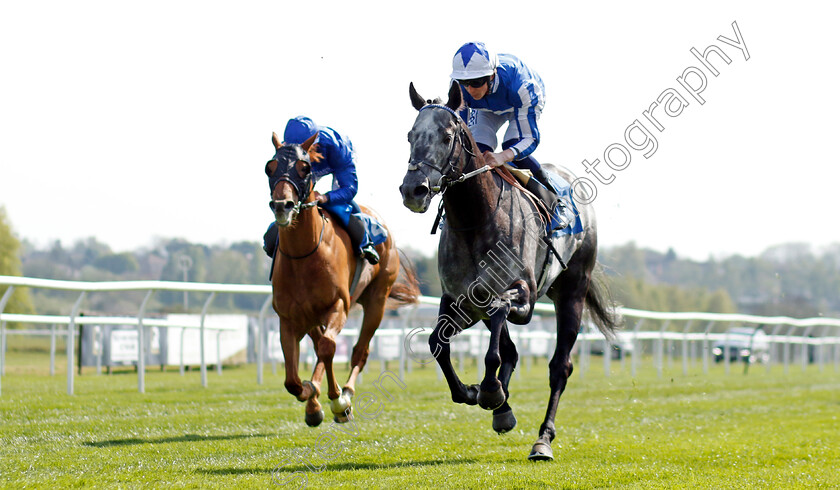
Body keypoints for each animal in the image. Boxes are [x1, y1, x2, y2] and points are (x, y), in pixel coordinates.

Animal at [266, 131, 416, 424]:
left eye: (305, 168)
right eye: (270, 167)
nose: (282, 206)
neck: (303, 256)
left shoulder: (339, 305)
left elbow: (327, 347)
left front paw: (337, 401)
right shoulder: (288, 317)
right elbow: (292, 380)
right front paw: (310, 395)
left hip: (377, 301)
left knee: (359, 350)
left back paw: (345, 392)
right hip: (313, 315)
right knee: (321, 346)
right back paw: (314, 400)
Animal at [398, 82, 620, 462]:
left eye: (446, 136)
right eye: (411, 135)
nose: (414, 190)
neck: (475, 218)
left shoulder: (524, 297)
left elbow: (500, 317)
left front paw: (489, 390)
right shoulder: (459, 298)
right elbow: (437, 343)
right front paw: (475, 393)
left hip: (573, 291)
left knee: (559, 367)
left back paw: (542, 439)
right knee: (512, 350)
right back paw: (502, 409)